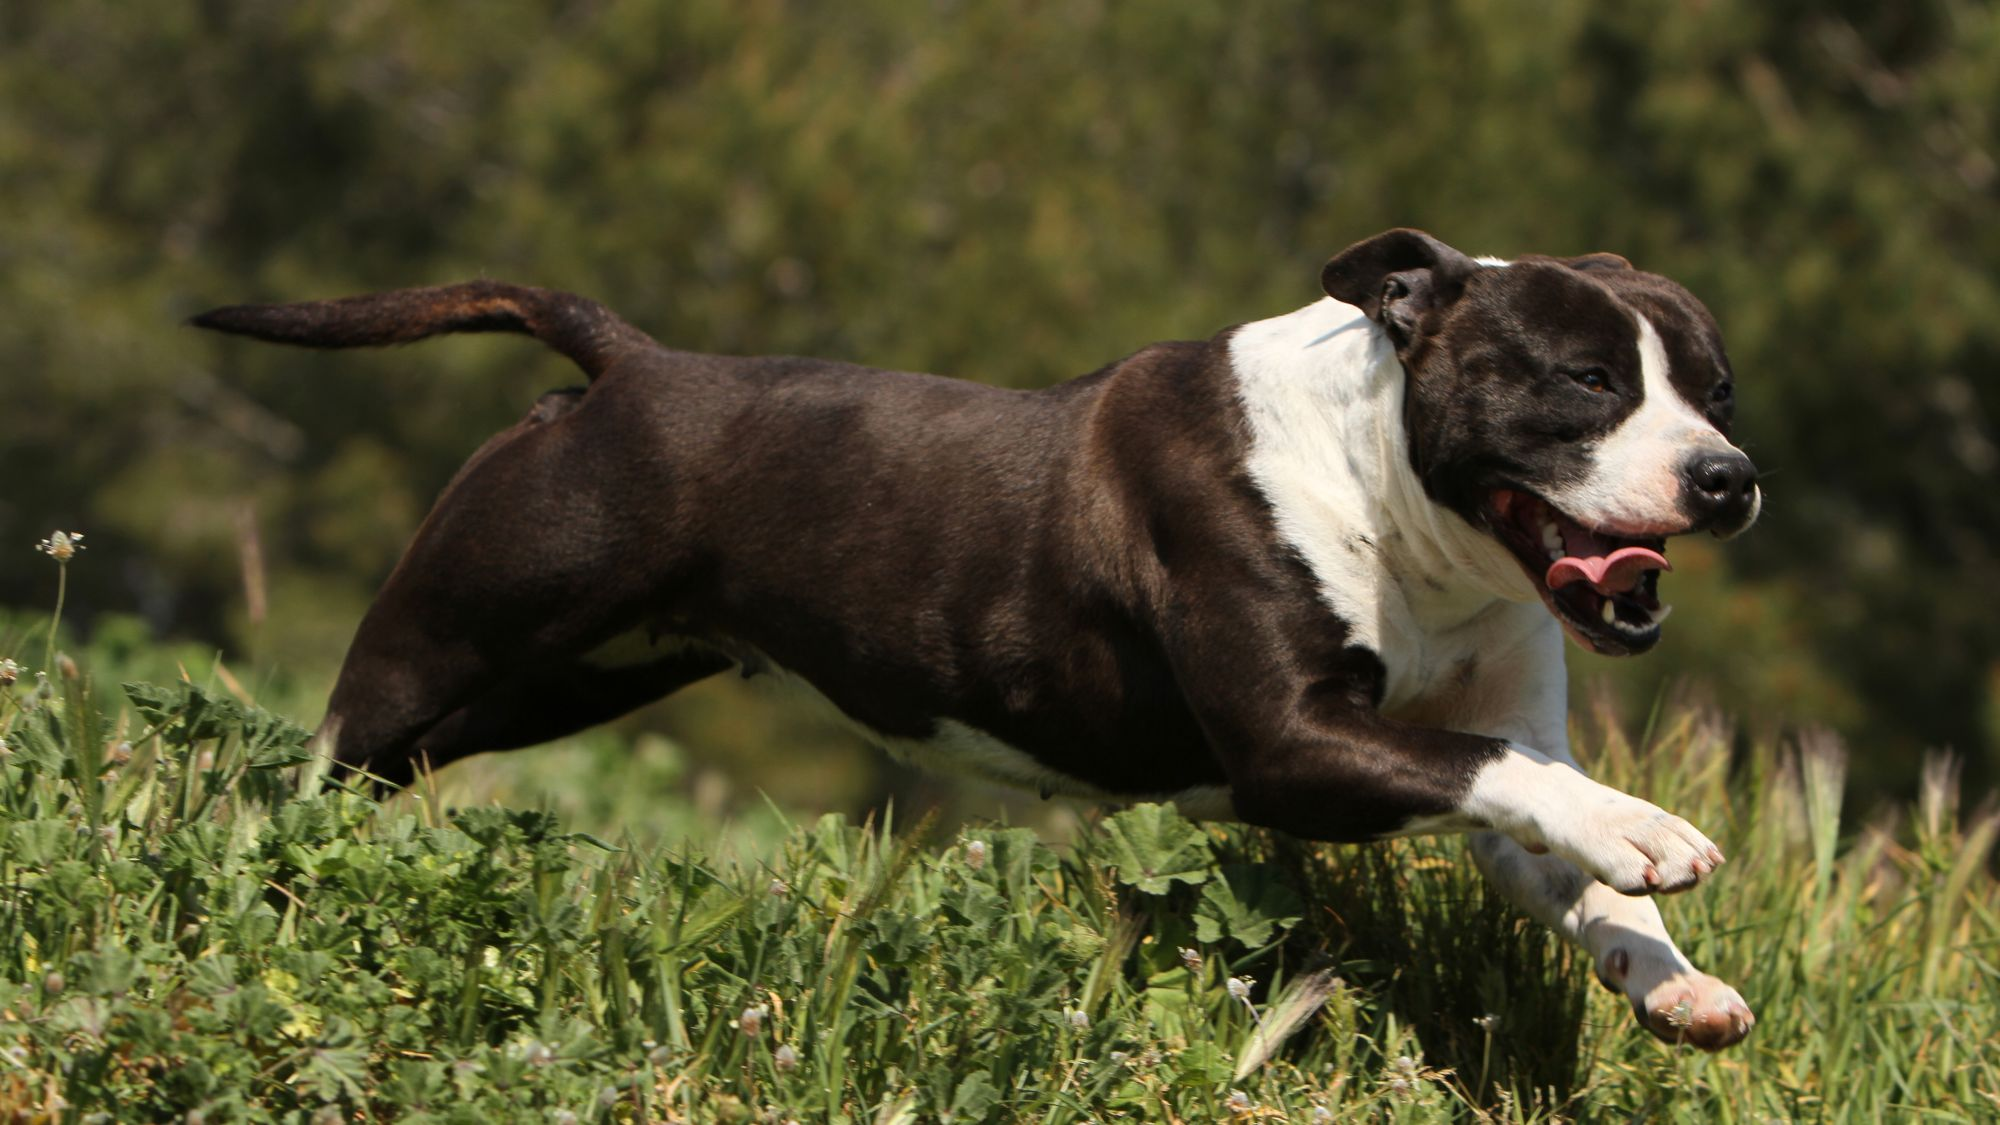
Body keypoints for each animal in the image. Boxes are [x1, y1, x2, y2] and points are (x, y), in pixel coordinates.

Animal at [199, 225, 1768, 1040]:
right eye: (1582, 382)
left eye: (1715, 386)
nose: (1727, 478)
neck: (1398, 505)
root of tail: (629, 366)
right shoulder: (1296, 746)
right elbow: (1510, 775)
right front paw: (1648, 827)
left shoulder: (1462, 748)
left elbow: (1547, 829)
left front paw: (1670, 979)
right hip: (451, 640)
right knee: (322, 749)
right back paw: (245, 863)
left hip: (565, 682)